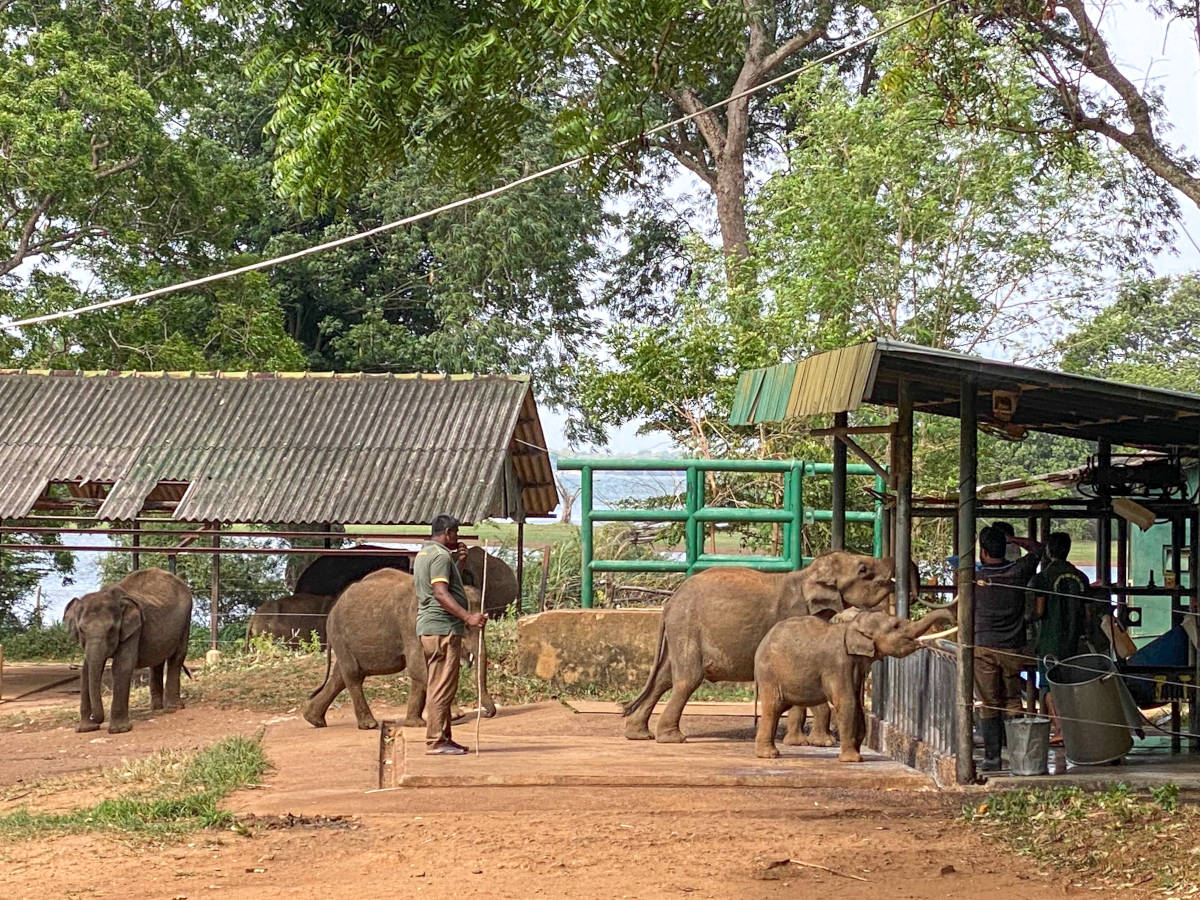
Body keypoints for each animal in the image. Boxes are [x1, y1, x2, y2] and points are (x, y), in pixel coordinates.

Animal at [63, 567, 193, 734]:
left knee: (177, 657)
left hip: (186, 620)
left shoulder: (134, 629)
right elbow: (85, 670)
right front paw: (86, 729)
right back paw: (156, 709)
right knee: (157, 661)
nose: (97, 719)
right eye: (81, 630)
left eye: (111, 630)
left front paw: (119, 730)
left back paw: (173, 708)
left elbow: (122, 666)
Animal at [303, 567, 496, 730]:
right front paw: (457, 716)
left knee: (340, 677)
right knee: (352, 675)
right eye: (465, 626)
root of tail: (332, 610)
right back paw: (369, 725)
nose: (488, 714)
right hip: (339, 635)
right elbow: (418, 666)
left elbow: (421, 671)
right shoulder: (411, 625)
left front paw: (416, 723)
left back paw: (314, 720)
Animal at [622, 551, 905, 744]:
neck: (806, 575)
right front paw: (817, 743)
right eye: (863, 569)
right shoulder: (793, 615)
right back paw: (673, 738)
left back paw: (639, 734)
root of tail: (669, 603)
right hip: (688, 627)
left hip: (681, 631)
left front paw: (804, 742)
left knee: (664, 677)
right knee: (687, 679)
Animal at [754, 608, 953, 762]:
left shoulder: (857, 666)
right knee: (773, 706)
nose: (952, 618)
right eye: (895, 626)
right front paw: (853, 760)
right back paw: (769, 755)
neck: (851, 626)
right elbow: (846, 702)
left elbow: (857, 704)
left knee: (779, 707)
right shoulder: (838, 664)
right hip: (769, 673)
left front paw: (858, 752)